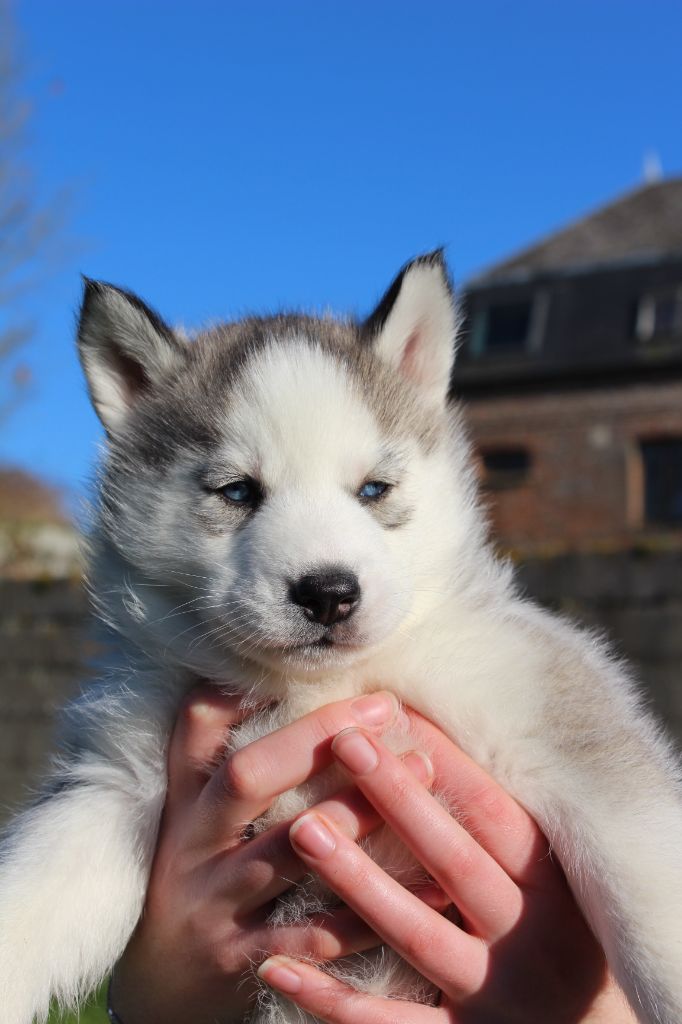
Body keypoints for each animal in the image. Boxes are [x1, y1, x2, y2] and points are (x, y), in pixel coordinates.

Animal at [1, 249, 679, 1024]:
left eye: (374, 489)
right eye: (238, 491)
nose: (328, 593)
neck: (318, 689)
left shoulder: (552, 714)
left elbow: (648, 896)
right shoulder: (114, 780)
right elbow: (32, 898)